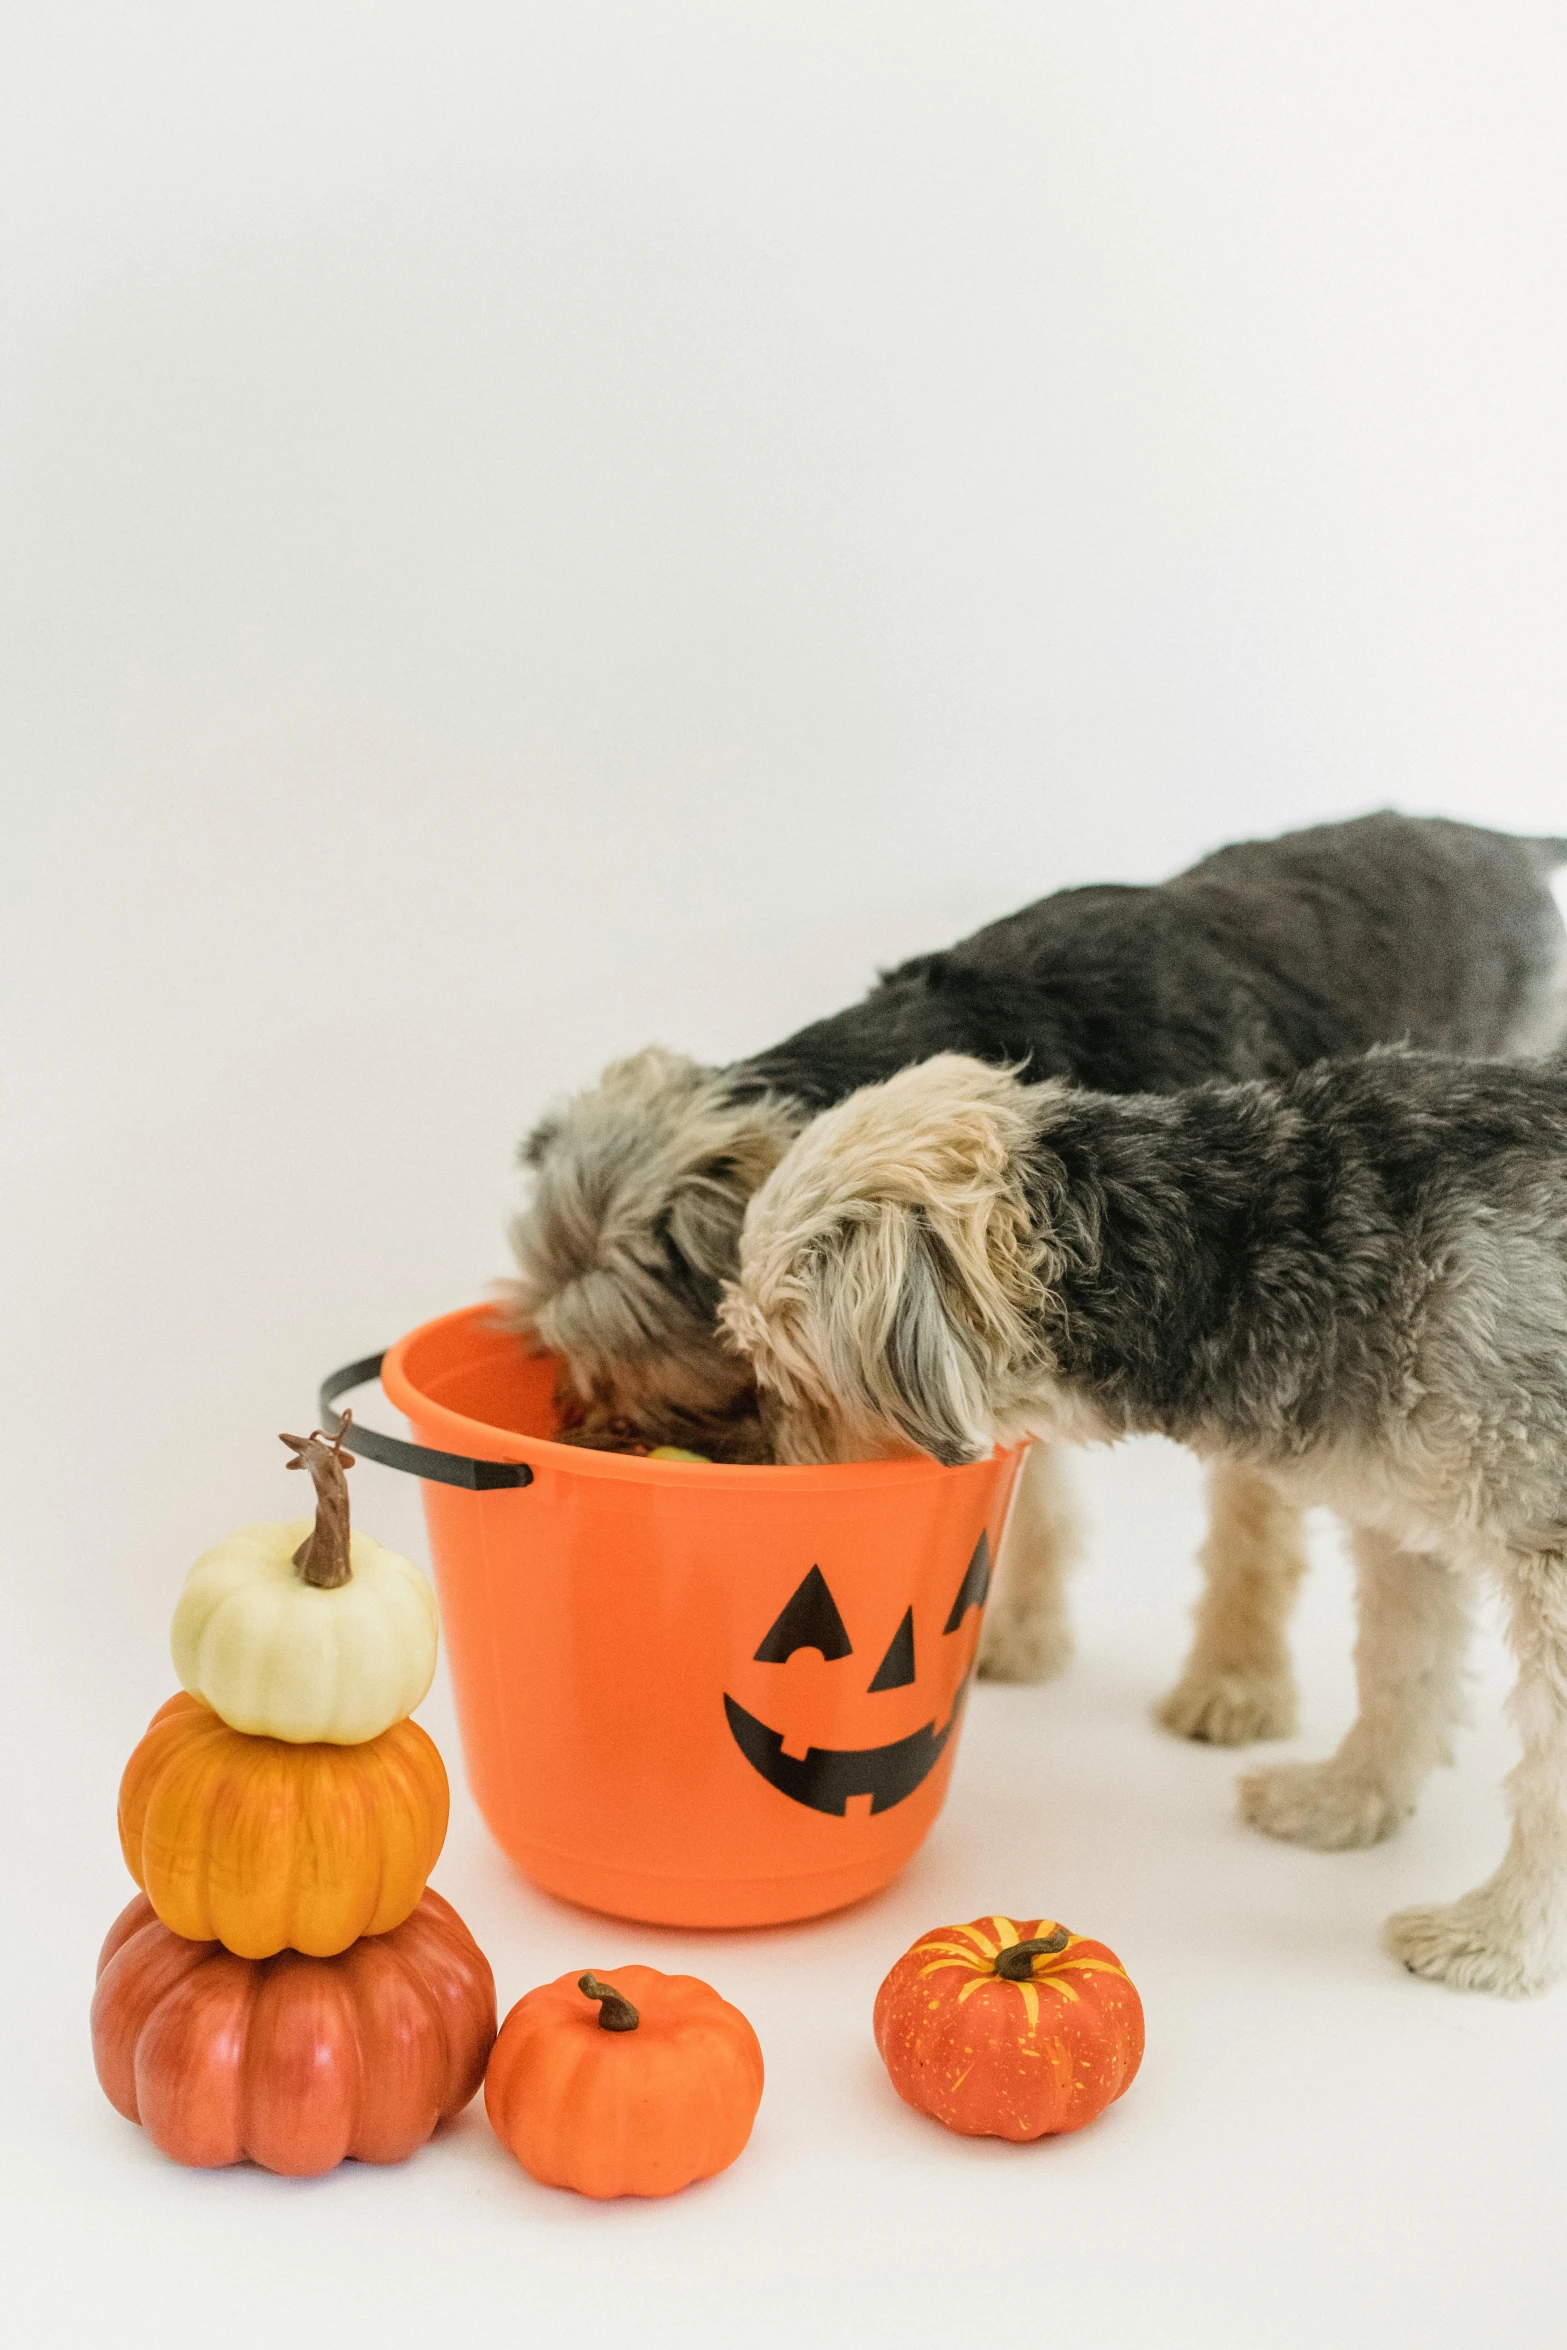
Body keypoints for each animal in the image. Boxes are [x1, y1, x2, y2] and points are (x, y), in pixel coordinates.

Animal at [512, 817, 1567, 1738]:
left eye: (697, 1385)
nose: (594, 1438)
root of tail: (1502, 845)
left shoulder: (1244, 1305)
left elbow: (1250, 1529)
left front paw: (1233, 1683)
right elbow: (1040, 1488)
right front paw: (1020, 1632)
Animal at [728, 1057, 1567, 1992]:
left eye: (779, 1371)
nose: (768, 1471)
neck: (1244, 1239)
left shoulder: (1550, 1566)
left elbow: (1546, 1784)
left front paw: (1499, 1939)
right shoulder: (1401, 1530)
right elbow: (1399, 1671)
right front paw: (1345, 1804)